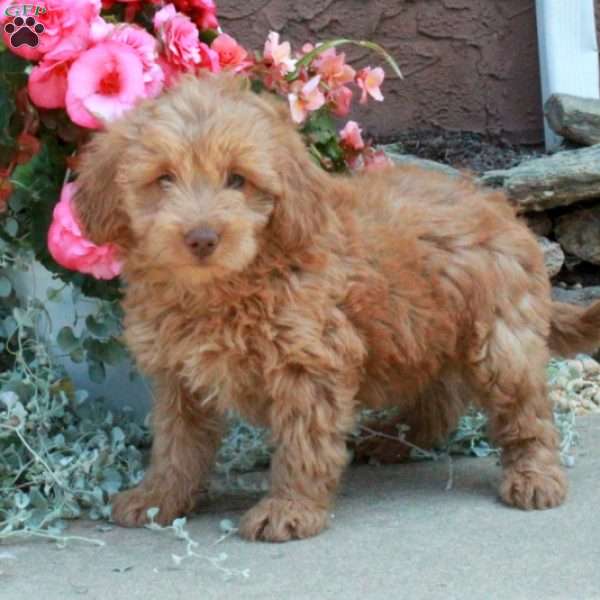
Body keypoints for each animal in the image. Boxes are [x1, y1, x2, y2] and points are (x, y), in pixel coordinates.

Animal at [74, 75, 600, 544]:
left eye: (238, 180)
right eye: (163, 179)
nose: (201, 238)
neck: (225, 287)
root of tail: (502, 209)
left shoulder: (309, 363)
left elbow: (302, 443)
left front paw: (289, 509)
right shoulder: (177, 376)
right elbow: (176, 442)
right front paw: (158, 497)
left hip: (499, 338)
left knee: (526, 409)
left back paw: (534, 475)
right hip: (427, 330)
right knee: (441, 397)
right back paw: (393, 437)